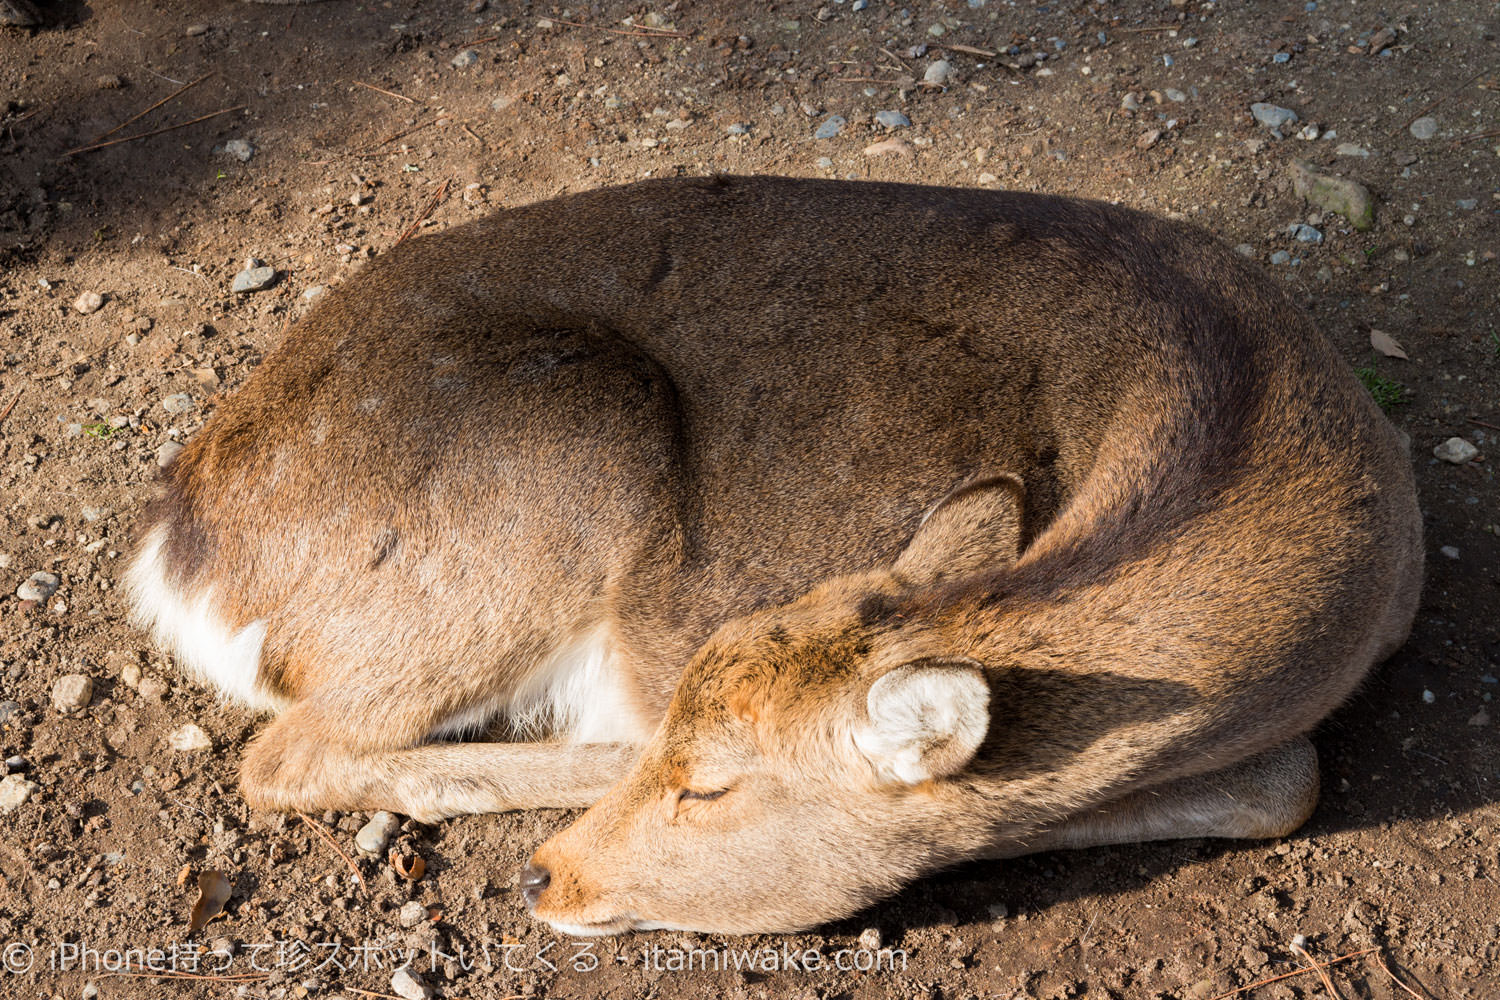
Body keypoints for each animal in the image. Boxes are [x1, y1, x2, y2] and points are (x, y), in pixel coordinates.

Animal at [126, 173, 1416, 941]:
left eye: (714, 785)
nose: (547, 879)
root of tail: (177, 545)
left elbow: (1285, 783)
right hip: (568, 455)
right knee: (287, 754)